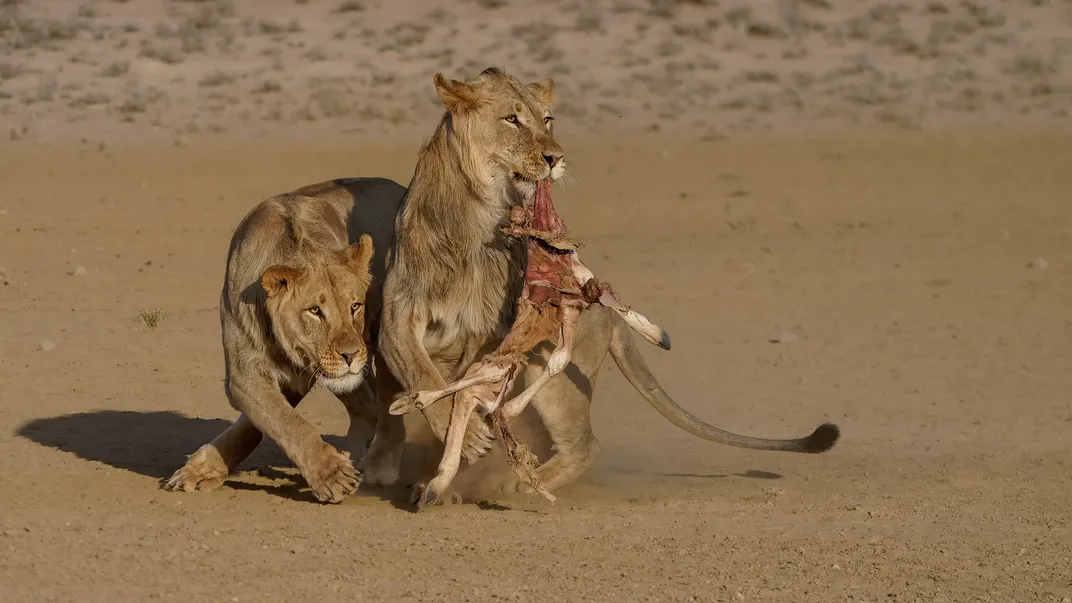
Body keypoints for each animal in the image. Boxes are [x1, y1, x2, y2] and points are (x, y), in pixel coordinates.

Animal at [163, 178, 408, 503]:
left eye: (355, 306)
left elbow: (283, 423)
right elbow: (282, 421)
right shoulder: (244, 373)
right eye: (315, 311)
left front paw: (332, 474)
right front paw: (201, 470)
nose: (351, 355)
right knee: (367, 405)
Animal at [374, 67, 840, 506]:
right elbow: (424, 374)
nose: (555, 158)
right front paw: (463, 438)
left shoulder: (490, 334)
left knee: (584, 444)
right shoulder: (397, 318)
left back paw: (515, 483)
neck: (478, 217)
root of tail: (602, 304)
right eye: (512, 119)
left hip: (554, 374)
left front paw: (465, 445)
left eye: (547, 119)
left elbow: (460, 388)